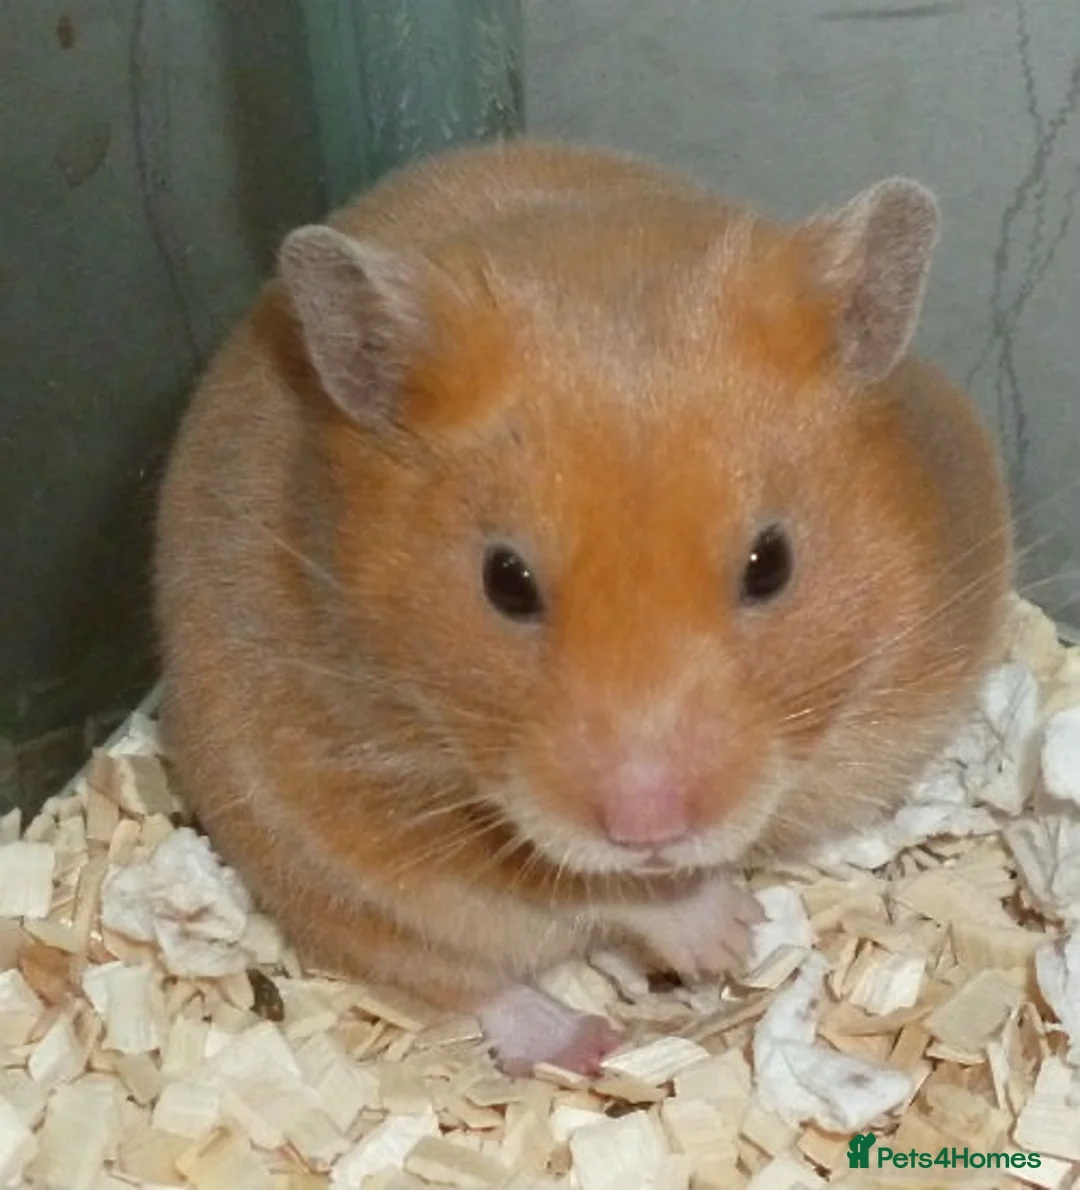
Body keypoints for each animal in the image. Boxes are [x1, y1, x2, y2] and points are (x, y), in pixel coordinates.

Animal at [154, 139, 1012, 1074]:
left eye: (771, 564)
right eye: (505, 581)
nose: (648, 824)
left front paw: (734, 932)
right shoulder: (371, 785)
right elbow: (566, 877)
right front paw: (730, 934)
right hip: (308, 878)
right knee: (467, 982)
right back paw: (590, 1043)